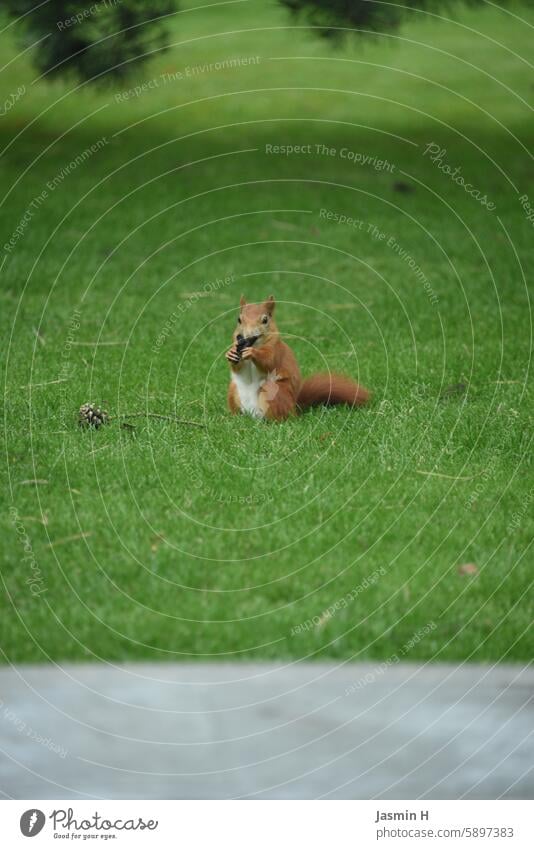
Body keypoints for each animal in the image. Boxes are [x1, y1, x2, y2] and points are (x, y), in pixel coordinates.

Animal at [224, 294, 370, 420]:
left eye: (265, 320)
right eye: (239, 320)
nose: (244, 337)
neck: (255, 344)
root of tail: (294, 408)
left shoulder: (276, 350)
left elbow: (269, 362)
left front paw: (252, 352)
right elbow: (237, 367)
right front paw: (230, 353)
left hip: (274, 393)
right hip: (233, 391)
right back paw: (236, 417)